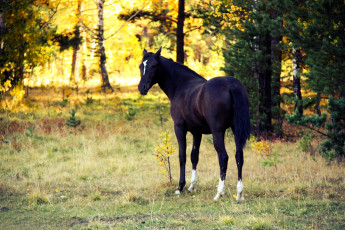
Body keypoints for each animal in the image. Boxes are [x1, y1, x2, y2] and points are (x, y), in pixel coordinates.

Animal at [137, 47, 250, 200]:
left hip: (218, 132)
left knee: (223, 157)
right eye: (140, 66)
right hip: (236, 129)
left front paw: (180, 187)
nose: (142, 88)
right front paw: (192, 186)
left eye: (153, 66)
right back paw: (239, 193)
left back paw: (219, 193)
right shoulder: (197, 132)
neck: (181, 87)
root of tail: (232, 86)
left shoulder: (179, 128)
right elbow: (194, 156)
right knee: (239, 156)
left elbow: (182, 156)